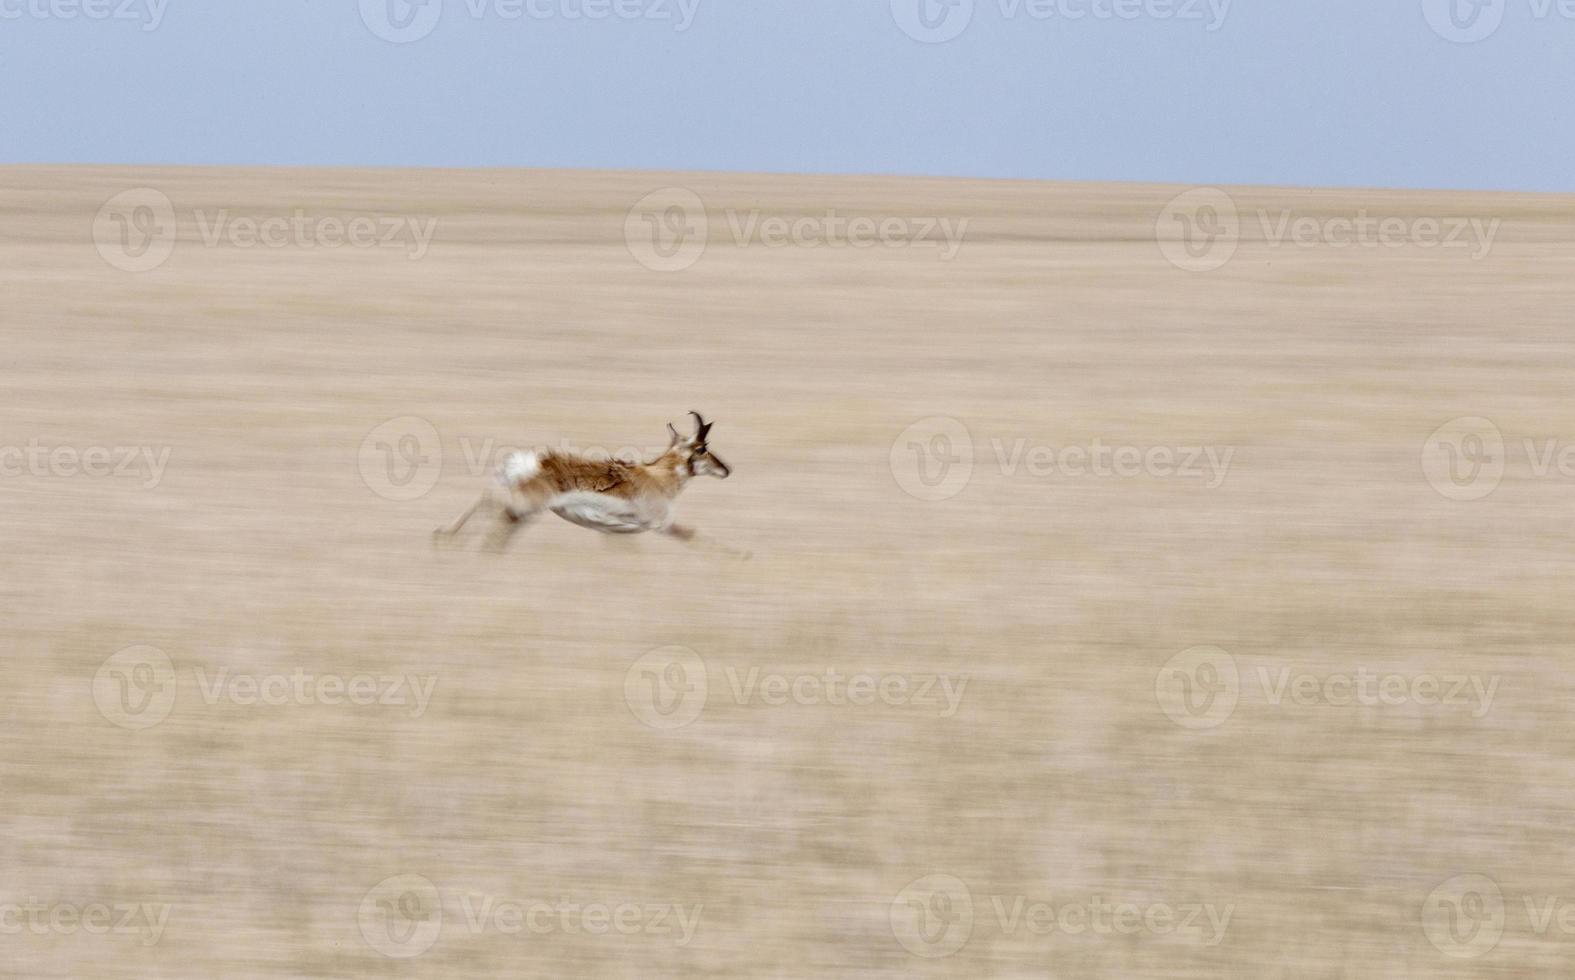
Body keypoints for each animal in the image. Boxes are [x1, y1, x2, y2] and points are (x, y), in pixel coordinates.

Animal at [437, 412, 730, 554]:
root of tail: (536, 461)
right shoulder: (661, 525)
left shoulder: (615, 531)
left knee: (490, 502)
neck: (656, 476)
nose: (726, 470)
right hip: (527, 506)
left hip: (524, 505)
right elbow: (698, 537)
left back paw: (448, 539)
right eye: (702, 448)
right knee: (497, 510)